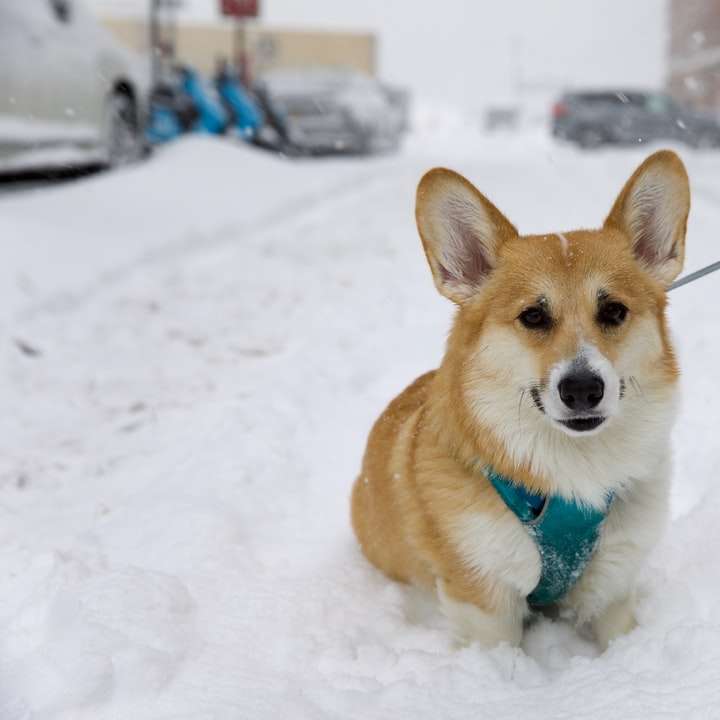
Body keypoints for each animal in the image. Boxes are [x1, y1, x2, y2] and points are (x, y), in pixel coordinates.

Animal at [352, 149, 688, 648]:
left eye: (614, 311)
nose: (582, 389)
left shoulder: (612, 586)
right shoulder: (484, 600)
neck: (574, 471)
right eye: (533, 316)